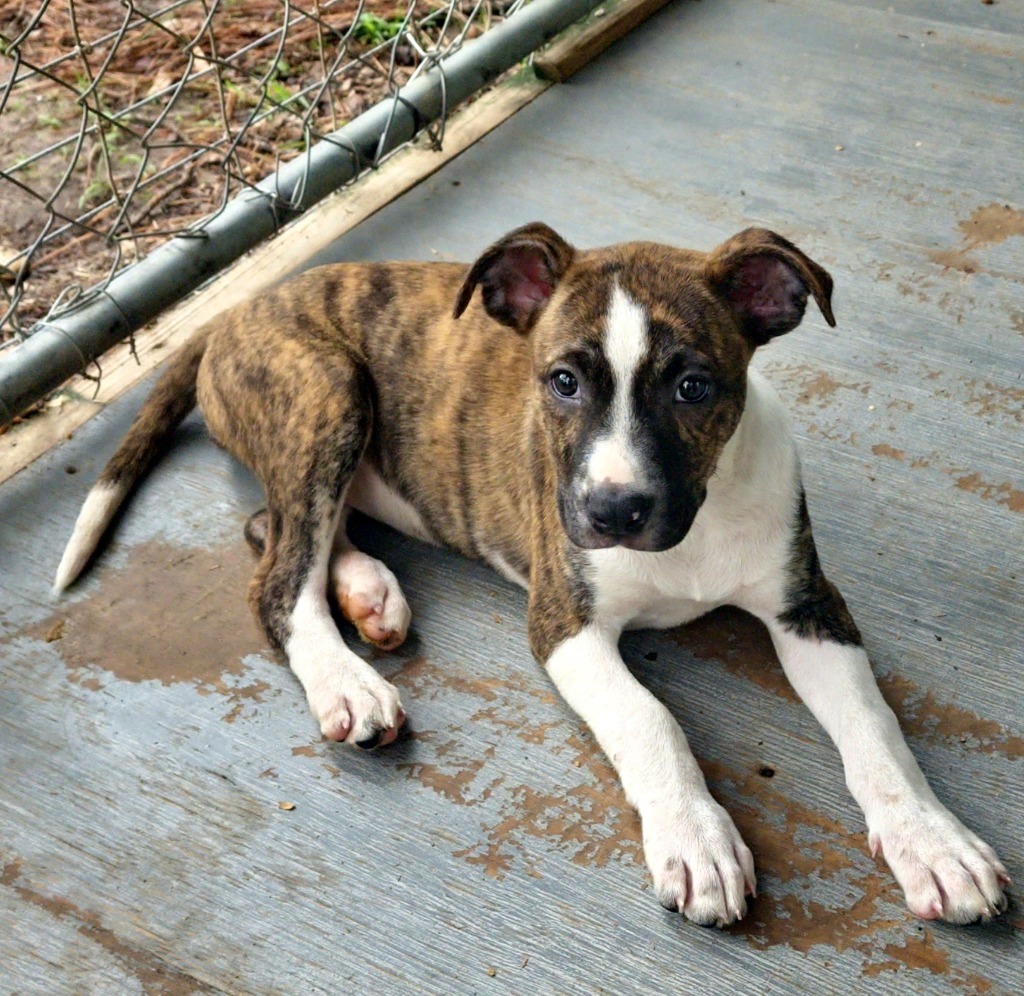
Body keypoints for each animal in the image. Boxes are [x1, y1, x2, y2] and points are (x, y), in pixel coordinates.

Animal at [56, 223, 1007, 925]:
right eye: (562, 382)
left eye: (694, 387)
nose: (614, 511)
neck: (692, 531)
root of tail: (234, 313)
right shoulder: (565, 621)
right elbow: (650, 719)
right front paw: (695, 837)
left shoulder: (808, 607)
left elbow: (875, 730)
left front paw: (932, 841)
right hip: (325, 392)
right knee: (279, 578)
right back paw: (347, 681)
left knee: (275, 530)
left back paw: (367, 590)